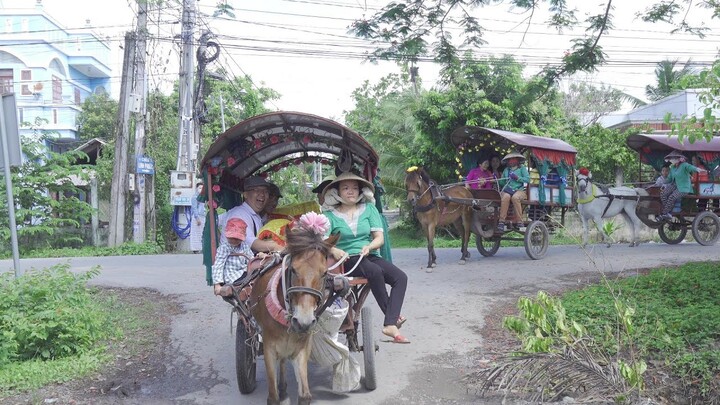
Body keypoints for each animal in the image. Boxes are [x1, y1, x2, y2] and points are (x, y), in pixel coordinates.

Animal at [250, 226, 340, 402]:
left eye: (325, 273)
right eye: (293, 269)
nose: (303, 322)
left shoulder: (302, 349)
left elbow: (305, 395)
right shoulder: (269, 348)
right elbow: (273, 397)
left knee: (284, 360)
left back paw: (283, 387)